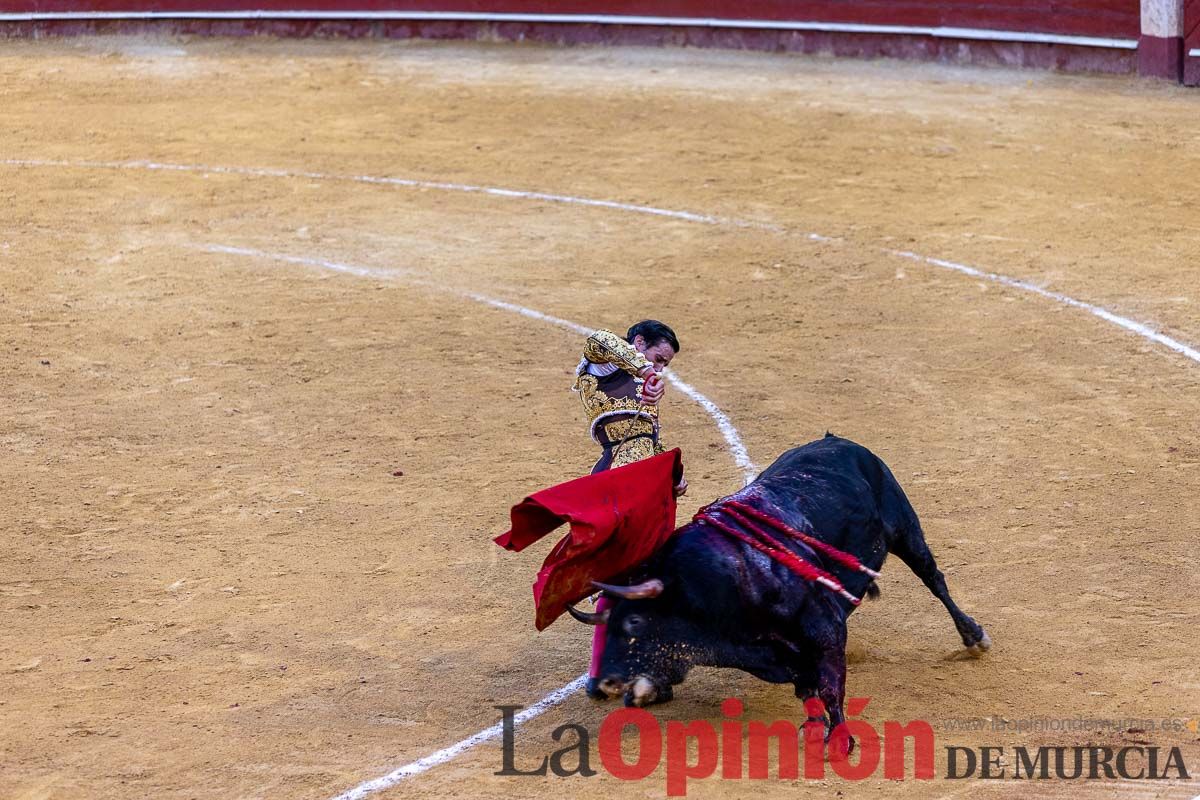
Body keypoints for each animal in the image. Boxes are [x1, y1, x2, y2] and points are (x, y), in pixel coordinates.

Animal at [576, 434, 988, 729]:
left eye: (634, 621)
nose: (602, 685)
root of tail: (841, 442)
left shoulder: (824, 627)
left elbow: (828, 685)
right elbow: (806, 686)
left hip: (905, 529)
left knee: (934, 579)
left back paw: (974, 635)